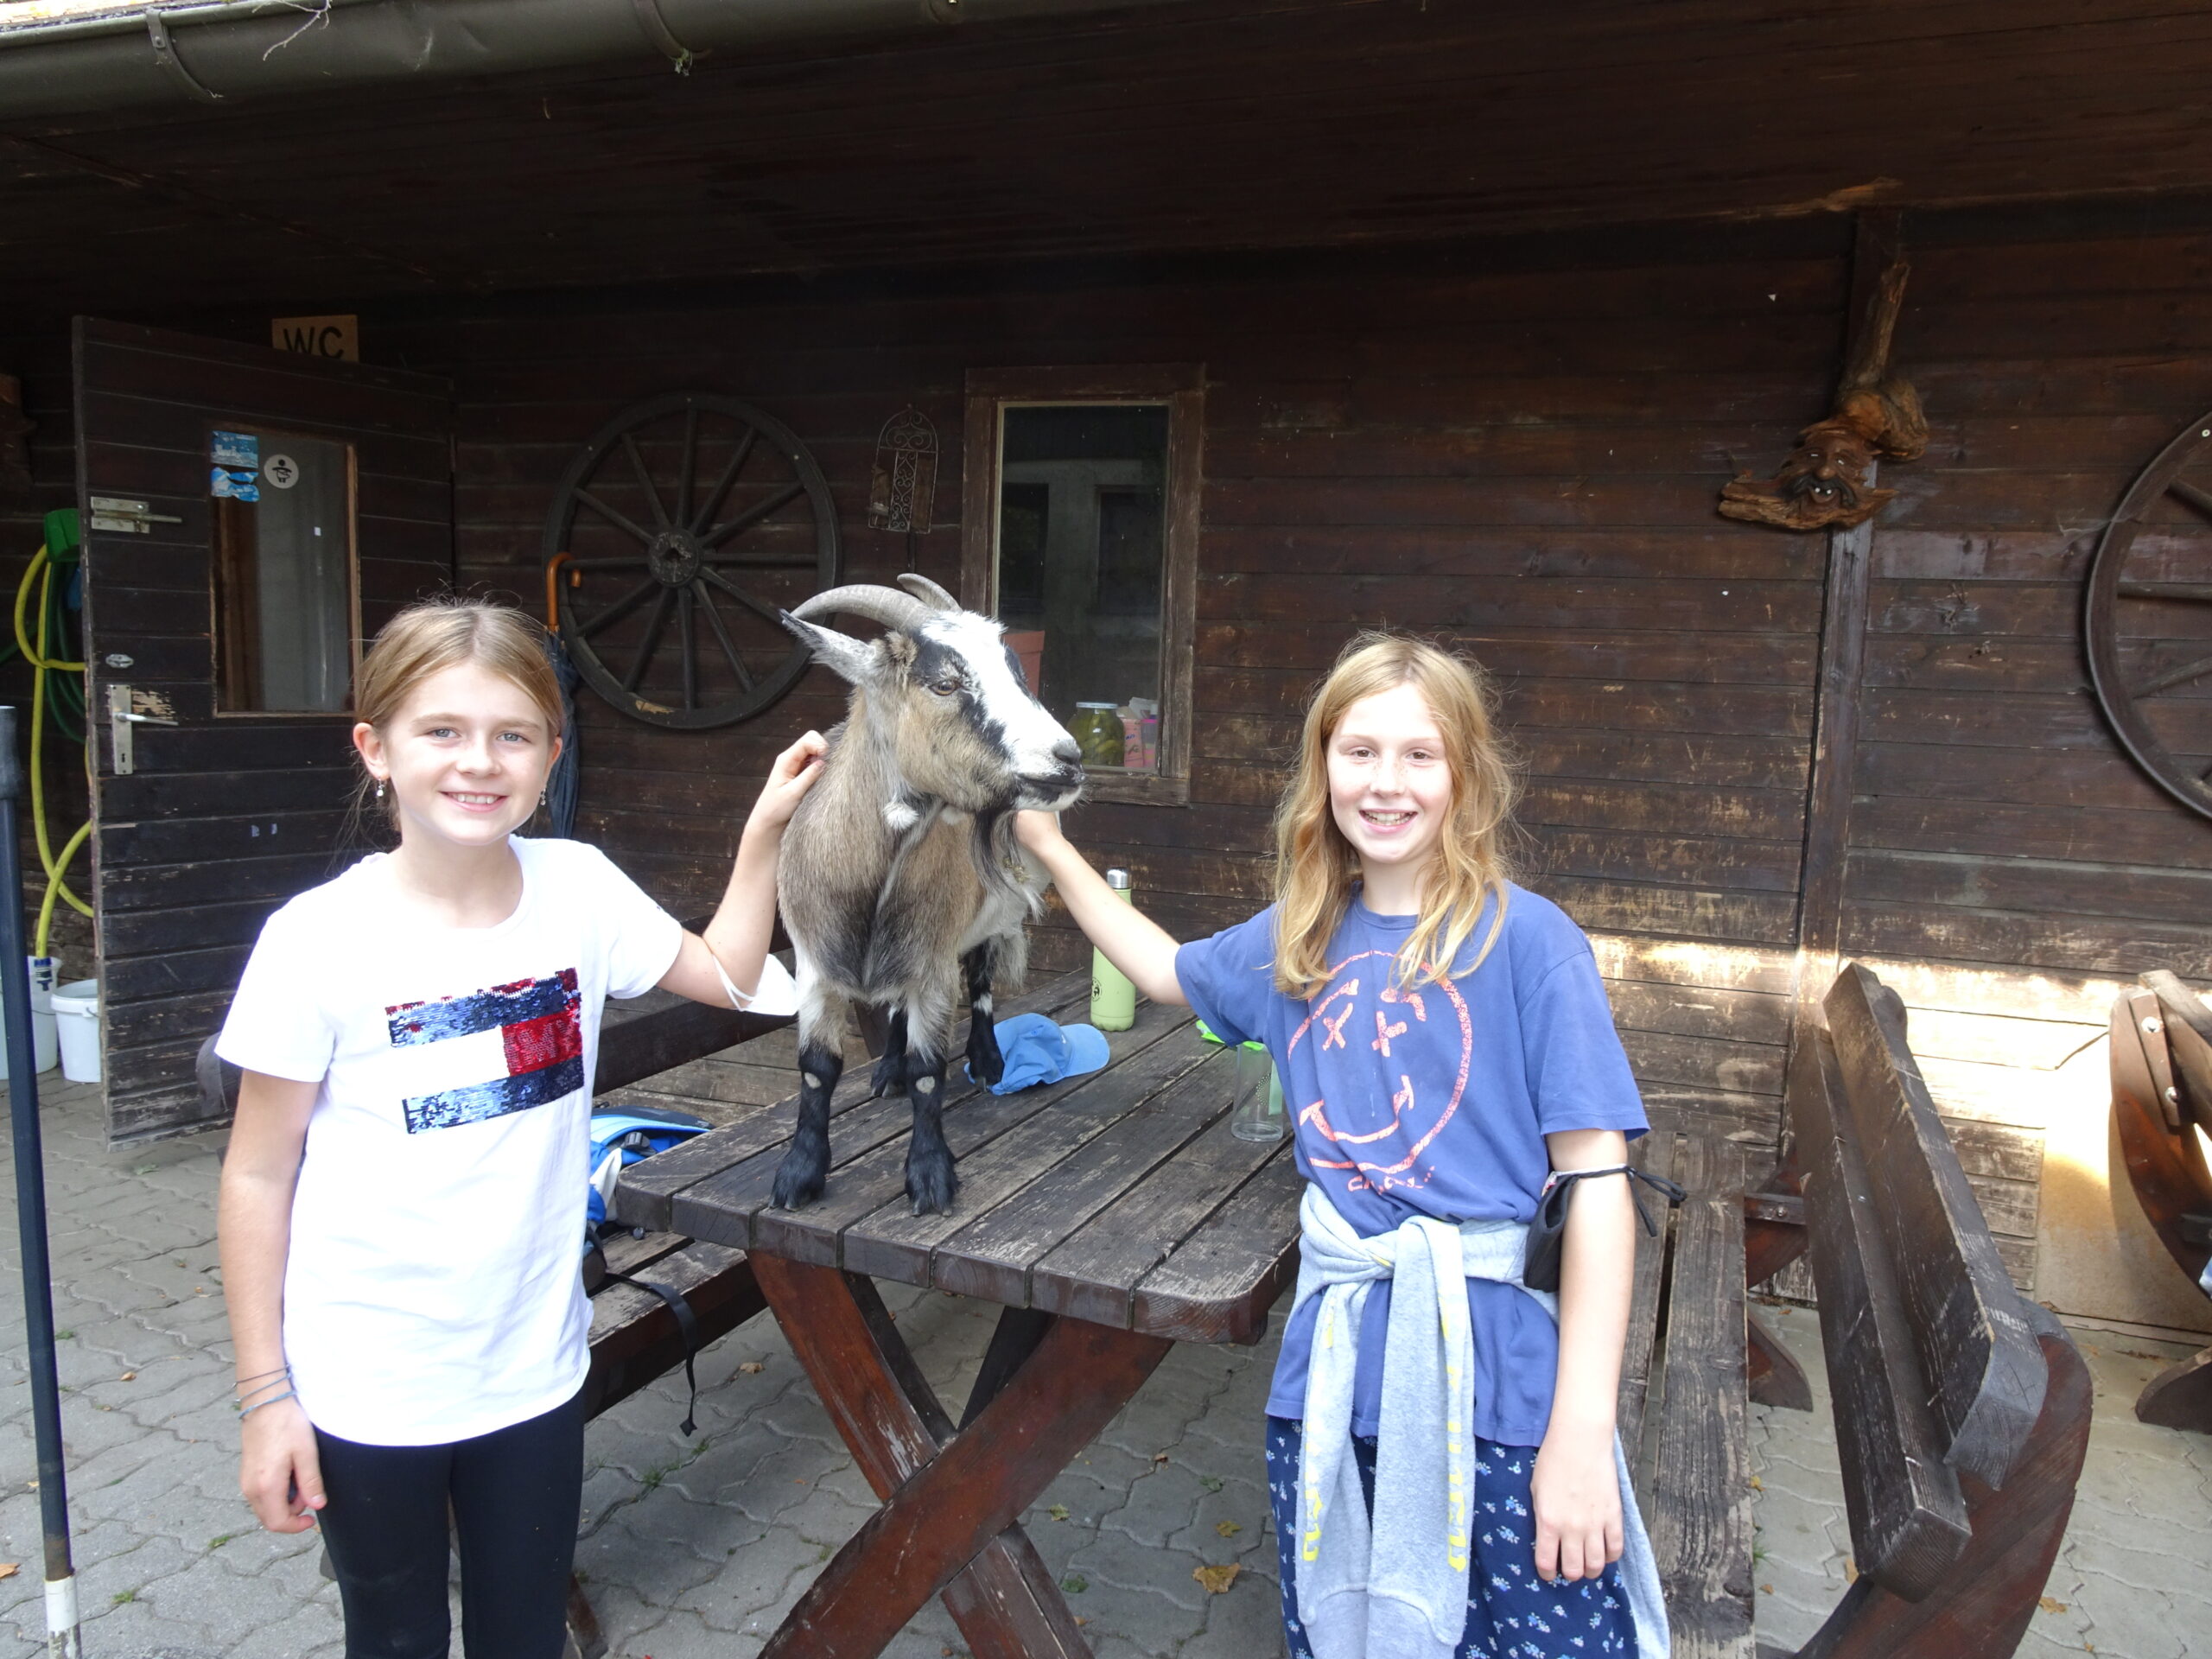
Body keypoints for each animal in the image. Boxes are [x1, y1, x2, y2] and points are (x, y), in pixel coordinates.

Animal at [772, 574, 1085, 1214]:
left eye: (1017, 671)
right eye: (945, 683)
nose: (1068, 760)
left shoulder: (935, 962)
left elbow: (928, 1072)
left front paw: (930, 1176)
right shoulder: (815, 965)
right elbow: (816, 1069)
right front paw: (799, 1175)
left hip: (990, 919)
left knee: (983, 979)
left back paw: (987, 1062)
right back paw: (887, 1066)